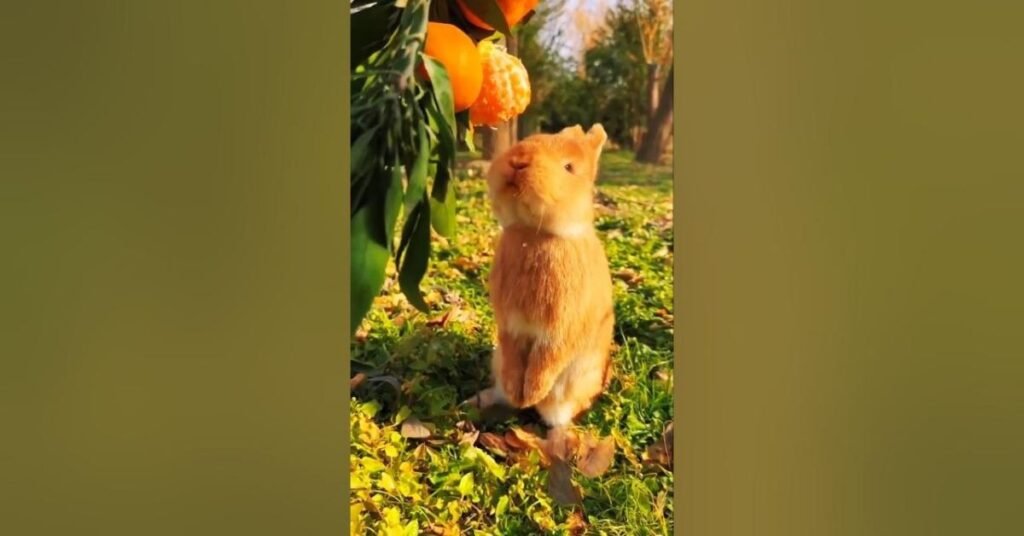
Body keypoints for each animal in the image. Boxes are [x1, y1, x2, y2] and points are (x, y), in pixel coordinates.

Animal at [467, 124, 616, 432]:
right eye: (529, 140)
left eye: (569, 167)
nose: (518, 161)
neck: (534, 234)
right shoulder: (509, 326)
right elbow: (514, 354)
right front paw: (518, 393)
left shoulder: (560, 330)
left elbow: (547, 358)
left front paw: (530, 395)